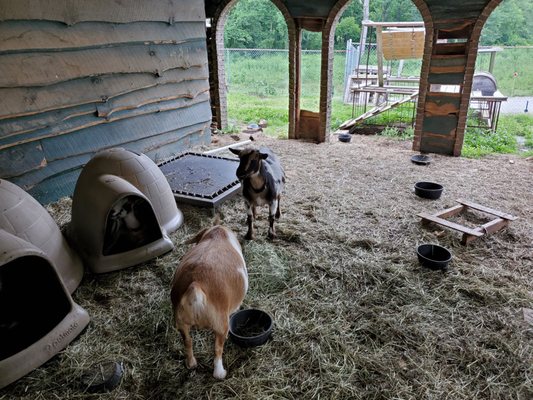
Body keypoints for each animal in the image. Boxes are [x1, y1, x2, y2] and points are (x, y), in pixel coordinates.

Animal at [169, 220, 246, 380]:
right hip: (221, 324)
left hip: (181, 323)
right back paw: (220, 373)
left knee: (188, 341)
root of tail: (196, 285)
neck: (217, 233)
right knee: (217, 350)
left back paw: (191, 364)